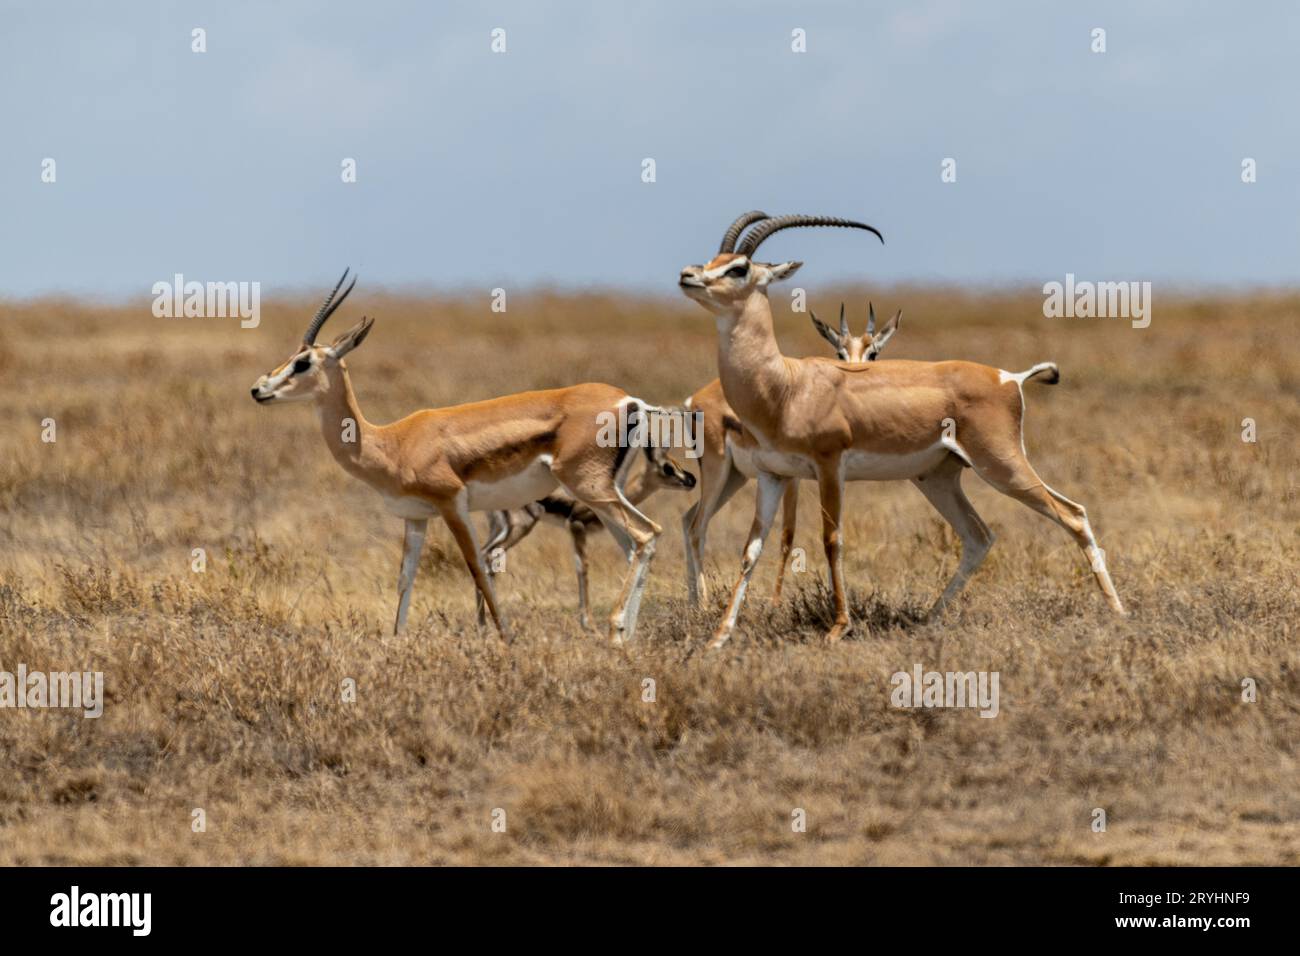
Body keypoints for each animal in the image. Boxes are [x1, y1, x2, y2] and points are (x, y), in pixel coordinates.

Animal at [251, 270, 664, 643]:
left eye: (302, 362)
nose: (258, 389)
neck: (390, 442)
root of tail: (629, 401)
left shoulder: (452, 504)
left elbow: (477, 567)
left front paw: (505, 639)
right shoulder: (416, 517)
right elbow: (405, 578)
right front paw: (396, 641)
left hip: (588, 487)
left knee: (646, 534)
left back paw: (616, 631)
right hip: (604, 493)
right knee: (635, 546)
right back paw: (625, 637)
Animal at [479, 445, 696, 630]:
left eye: (677, 464)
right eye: (667, 468)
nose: (691, 480)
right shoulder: (576, 526)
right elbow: (582, 568)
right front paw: (588, 624)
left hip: (499, 528)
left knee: (483, 557)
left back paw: (484, 626)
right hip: (521, 526)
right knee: (488, 558)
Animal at [682, 283, 901, 606]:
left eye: (873, 353)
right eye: (839, 352)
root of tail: (695, 399)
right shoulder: (791, 476)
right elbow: (788, 533)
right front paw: (775, 603)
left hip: (734, 478)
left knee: (688, 520)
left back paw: (694, 602)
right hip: (717, 471)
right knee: (698, 526)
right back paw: (706, 605)